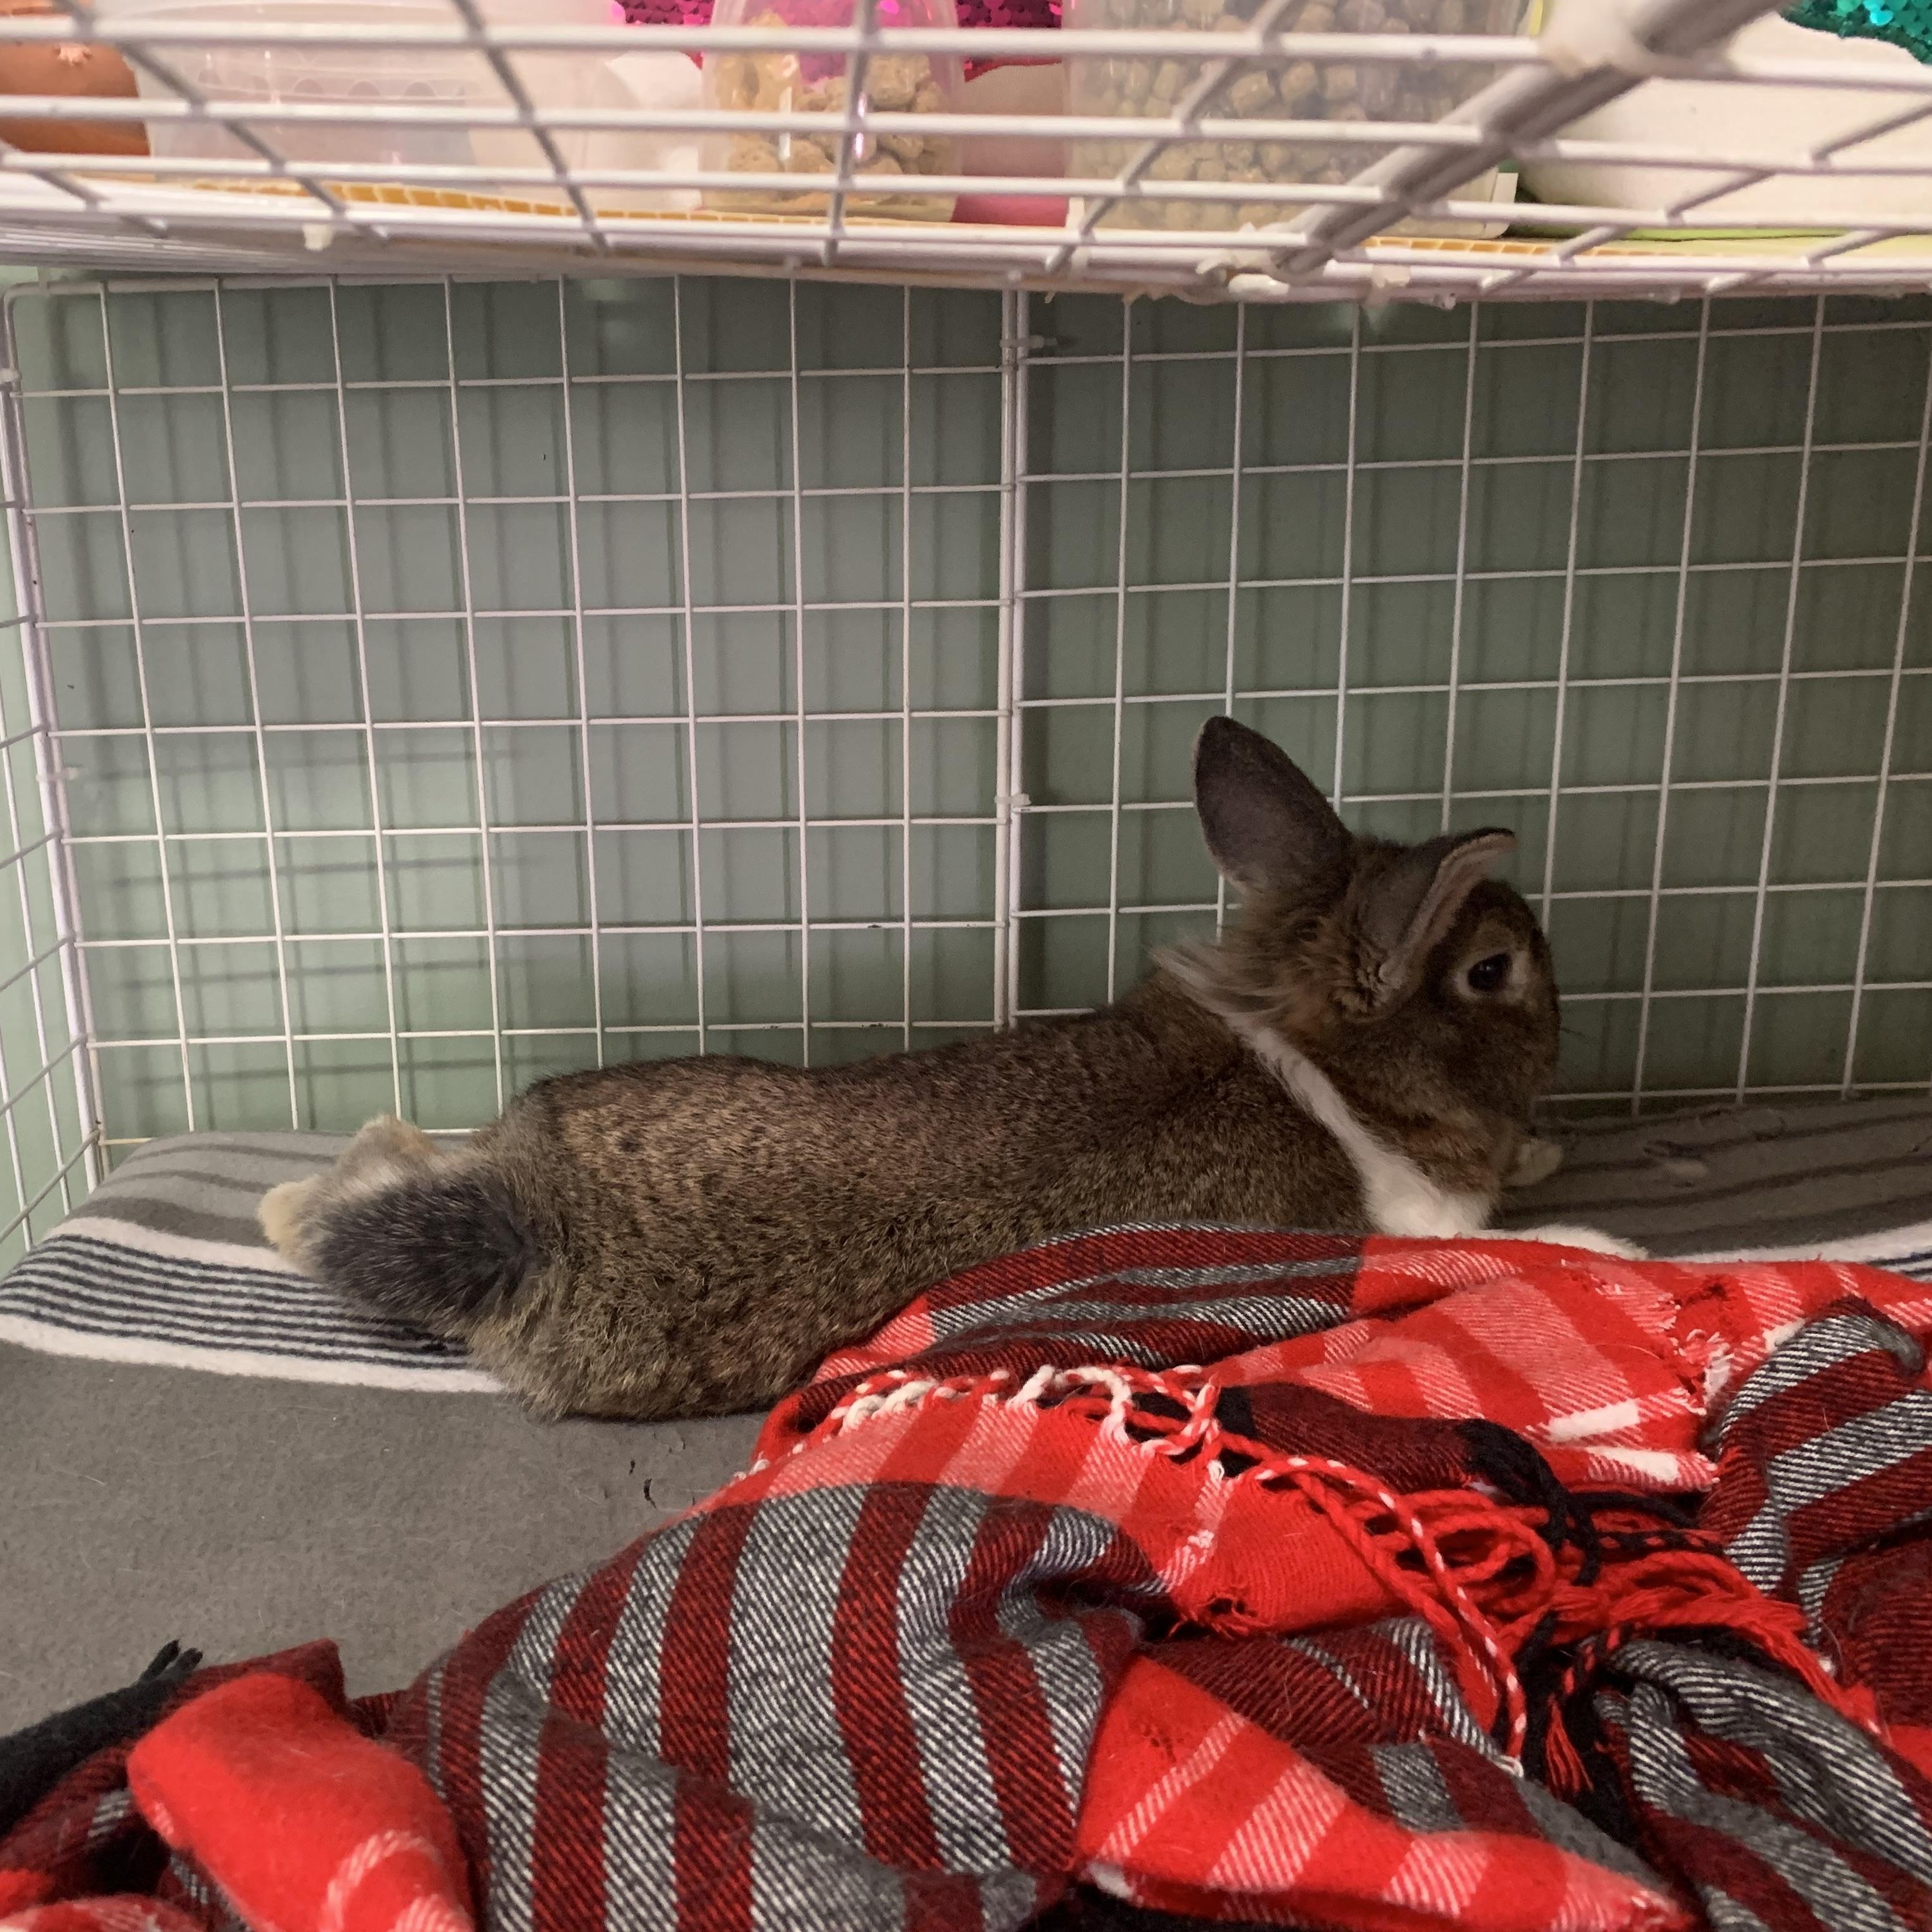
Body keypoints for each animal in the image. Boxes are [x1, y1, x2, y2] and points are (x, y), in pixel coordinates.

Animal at [259, 716, 1639, 1422]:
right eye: (1491, 971)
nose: (1568, 1012)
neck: (1324, 1061)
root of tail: (525, 1221)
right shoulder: (1408, 1224)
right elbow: (1510, 1245)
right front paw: (1606, 1235)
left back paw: (290, 1199)